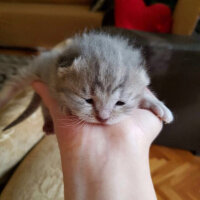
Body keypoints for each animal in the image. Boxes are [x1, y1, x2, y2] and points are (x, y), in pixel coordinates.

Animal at [0, 30, 173, 132]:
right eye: (88, 100)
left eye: (120, 103)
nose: (103, 118)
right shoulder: (48, 69)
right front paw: (65, 106)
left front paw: (158, 105)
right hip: (36, 68)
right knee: (16, 83)